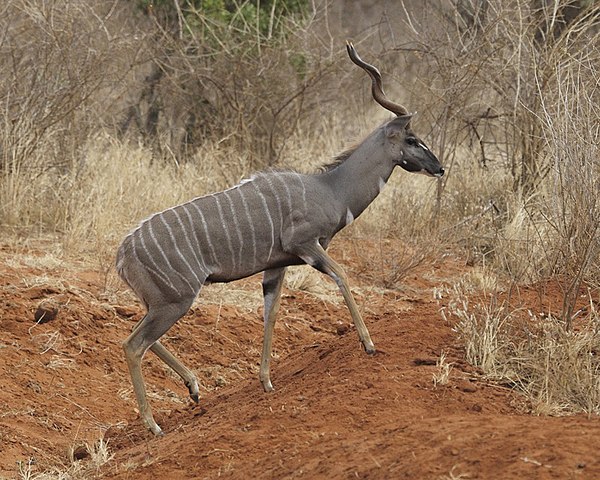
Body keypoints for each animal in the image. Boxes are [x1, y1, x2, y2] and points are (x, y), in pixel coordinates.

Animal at [117, 43, 446, 436]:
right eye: (412, 140)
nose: (439, 167)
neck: (330, 189)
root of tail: (122, 254)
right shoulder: (306, 245)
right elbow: (342, 276)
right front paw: (368, 344)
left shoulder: (278, 266)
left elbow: (270, 313)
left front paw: (266, 381)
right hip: (175, 300)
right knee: (134, 344)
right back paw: (154, 425)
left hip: (162, 302)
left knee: (144, 338)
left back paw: (194, 387)